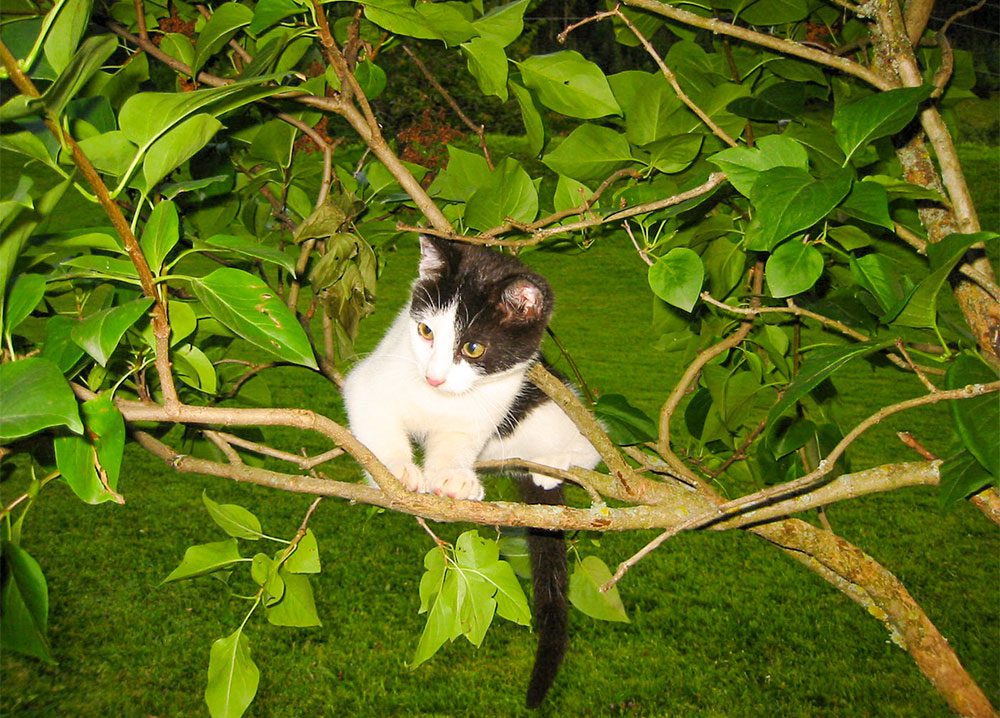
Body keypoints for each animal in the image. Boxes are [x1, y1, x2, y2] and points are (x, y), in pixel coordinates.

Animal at [344, 238, 596, 708]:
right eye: (426, 332)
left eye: (473, 349)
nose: (434, 378)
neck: (437, 400)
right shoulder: (370, 381)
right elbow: (375, 421)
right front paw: (398, 470)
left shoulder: (489, 404)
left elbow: (456, 442)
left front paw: (453, 476)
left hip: (555, 405)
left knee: (590, 447)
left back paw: (554, 468)